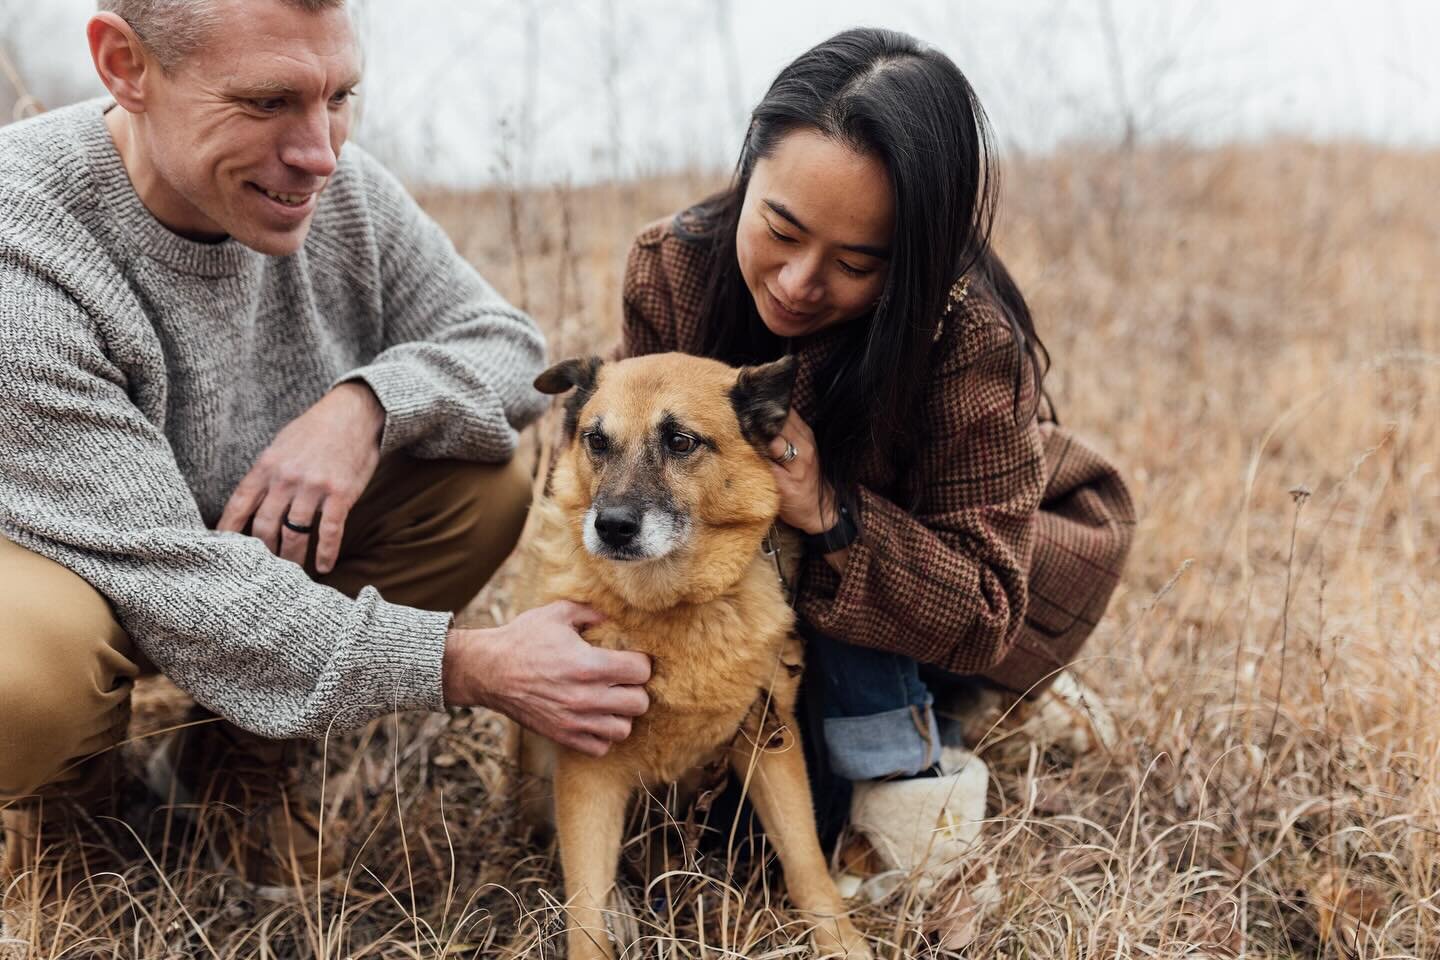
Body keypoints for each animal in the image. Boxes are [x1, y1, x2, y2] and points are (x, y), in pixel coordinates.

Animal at [512, 352, 869, 960]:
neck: (670, 607)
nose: (611, 527)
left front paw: (842, 942)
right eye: (596, 440)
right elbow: (584, 907)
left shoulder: (769, 740)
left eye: (680, 441)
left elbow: (806, 863)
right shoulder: (587, 768)